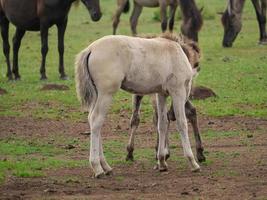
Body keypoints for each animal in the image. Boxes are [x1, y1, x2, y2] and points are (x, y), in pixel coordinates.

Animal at [75, 33, 201, 178]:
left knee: (92, 119)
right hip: (106, 94)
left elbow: (162, 124)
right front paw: (193, 162)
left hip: (97, 94)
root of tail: (90, 49)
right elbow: (182, 123)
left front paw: (162, 162)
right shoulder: (178, 91)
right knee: (96, 120)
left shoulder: (161, 94)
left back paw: (106, 167)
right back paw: (97, 168)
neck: (177, 53)